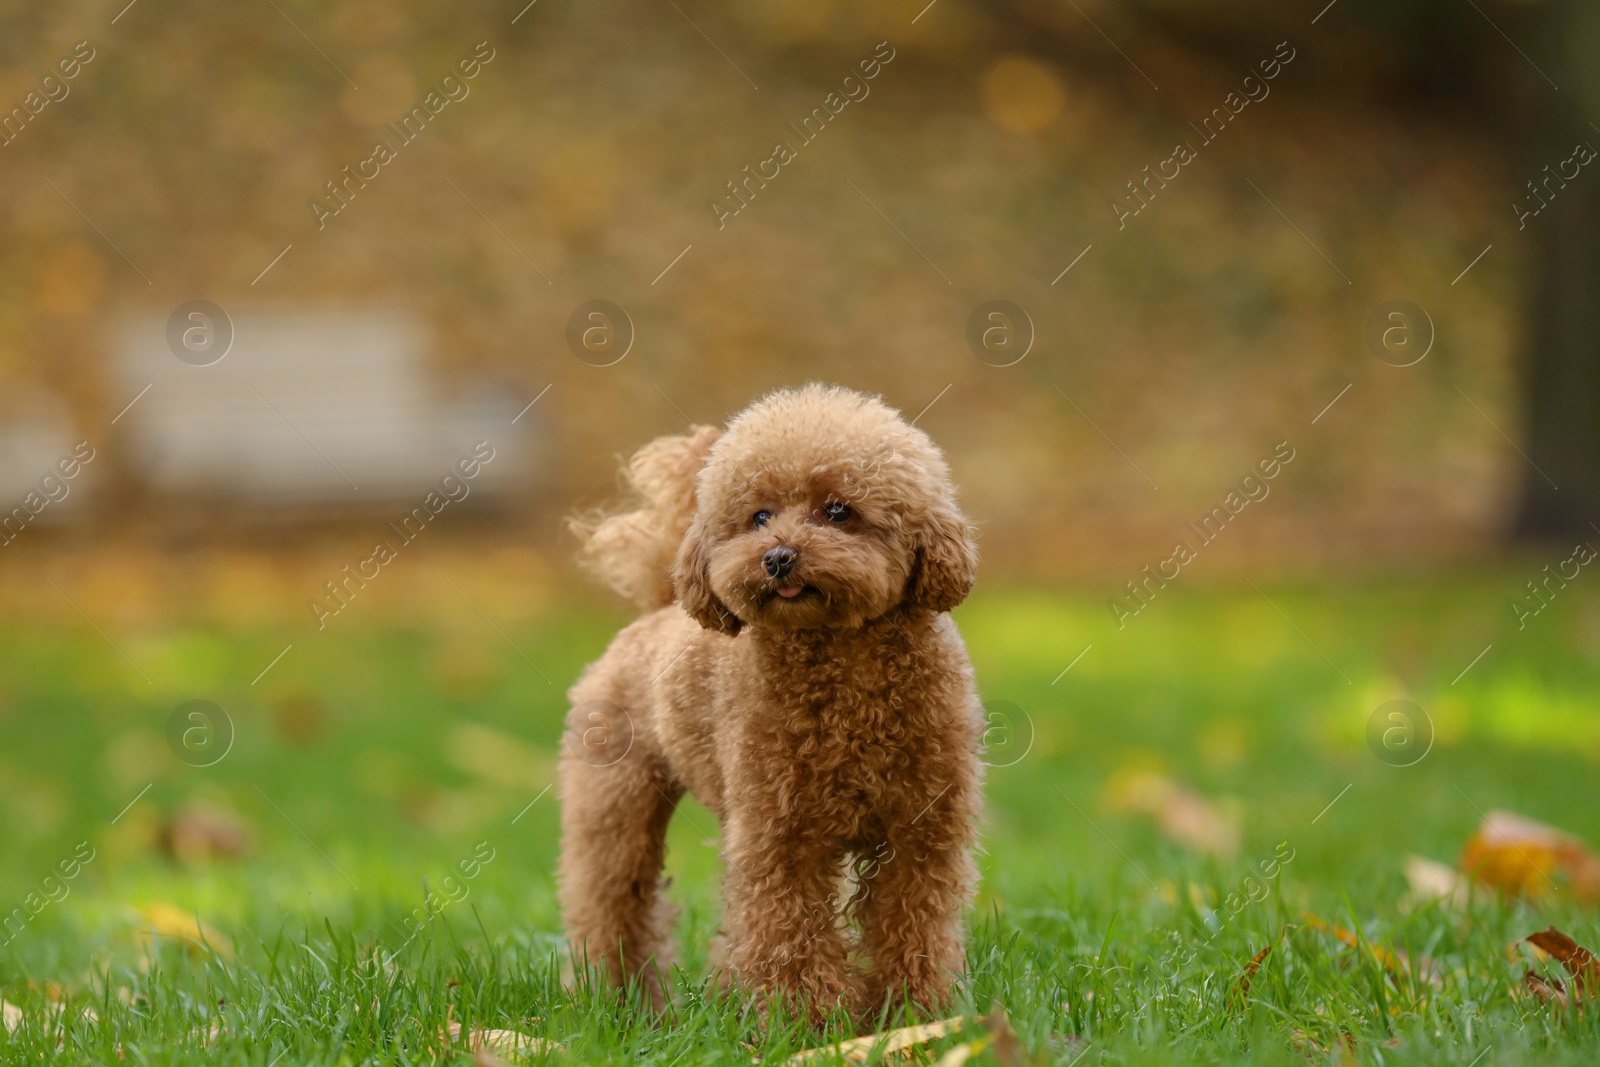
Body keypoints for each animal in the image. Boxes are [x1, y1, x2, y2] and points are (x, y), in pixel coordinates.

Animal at [563, 383, 985, 1017]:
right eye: (759, 516)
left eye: (838, 510)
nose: (779, 556)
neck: (845, 668)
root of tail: (662, 604)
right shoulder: (781, 832)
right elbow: (789, 929)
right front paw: (806, 1020)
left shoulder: (922, 830)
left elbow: (915, 925)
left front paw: (912, 1013)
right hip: (615, 800)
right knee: (611, 900)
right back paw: (619, 1004)